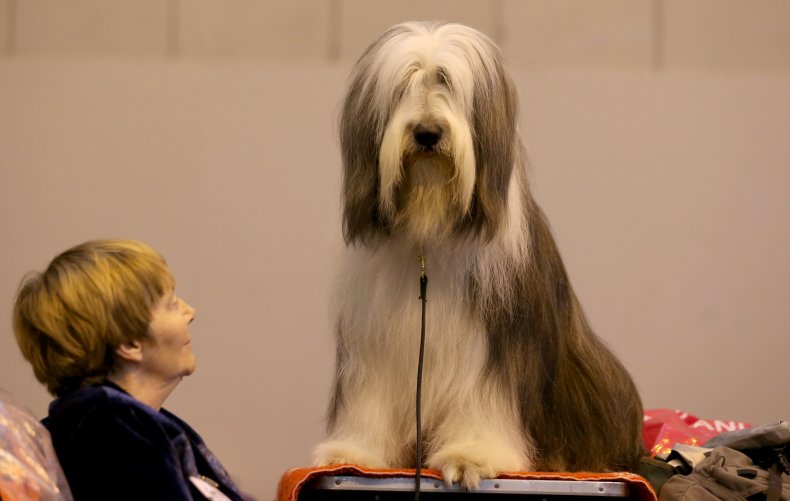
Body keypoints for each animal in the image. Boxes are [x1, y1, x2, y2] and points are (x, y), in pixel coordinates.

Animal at [312, 21, 648, 486]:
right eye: (403, 87)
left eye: (448, 84)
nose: (427, 133)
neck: (429, 232)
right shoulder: (373, 341)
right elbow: (369, 399)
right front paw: (353, 450)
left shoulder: (496, 342)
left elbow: (483, 398)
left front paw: (471, 455)